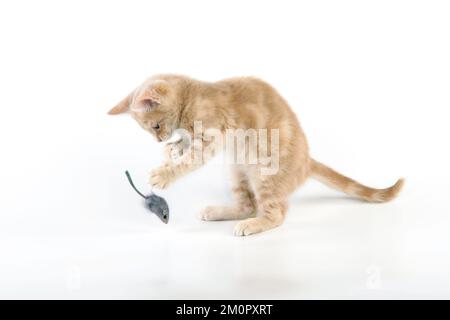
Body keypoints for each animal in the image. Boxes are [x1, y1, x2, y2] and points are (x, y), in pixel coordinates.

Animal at [109, 74, 404, 235]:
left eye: (156, 126)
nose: (159, 139)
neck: (194, 96)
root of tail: (307, 161)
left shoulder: (212, 137)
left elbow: (191, 159)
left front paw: (164, 174)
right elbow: (185, 148)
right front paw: (172, 149)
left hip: (263, 171)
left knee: (277, 213)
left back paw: (253, 225)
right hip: (236, 169)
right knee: (246, 205)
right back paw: (218, 211)